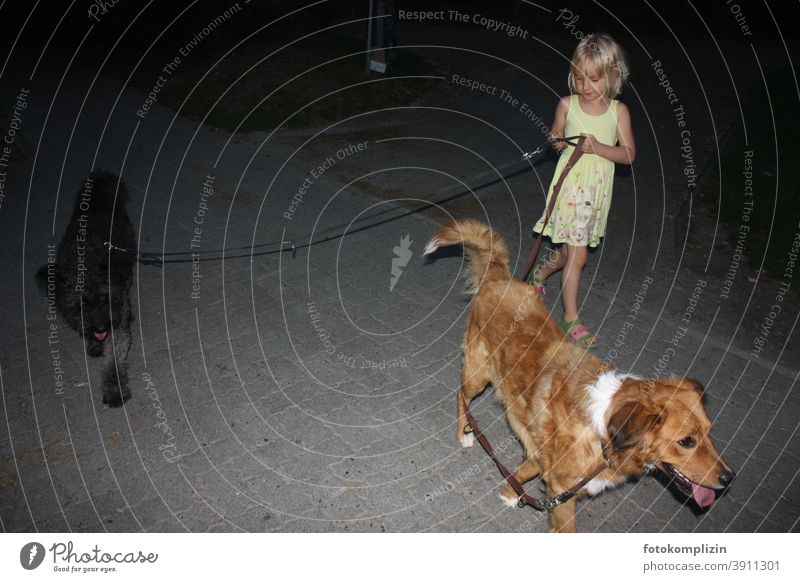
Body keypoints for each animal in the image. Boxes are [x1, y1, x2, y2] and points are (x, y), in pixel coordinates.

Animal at [37, 171, 136, 408]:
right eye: (81, 303)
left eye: (103, 298)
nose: (100, 327)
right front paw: (93, 341)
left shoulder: (117, 313)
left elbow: (115, 358)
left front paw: (114, 390)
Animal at [424, 219, 732, 532]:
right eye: (686, 441)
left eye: (709, 431)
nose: (728, 479)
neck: (603, 430)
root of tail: (501, 279)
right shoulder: (563, 490)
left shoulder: (546, 459)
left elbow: (527, 469)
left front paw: (510, 493)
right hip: (478, 373)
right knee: (461, 396)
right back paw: (464, 433)